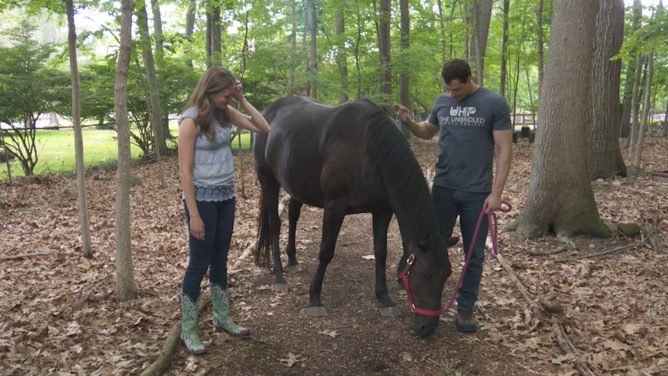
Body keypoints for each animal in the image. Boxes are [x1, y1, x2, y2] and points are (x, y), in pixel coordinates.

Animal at [252, 95, 454, 336]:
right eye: (424, 273)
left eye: (447, 275)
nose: (427, 327)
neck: (368, 149)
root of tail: (268, 111)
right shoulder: (334, 208)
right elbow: (325, 252)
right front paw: (314, 298)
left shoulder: (382, 211)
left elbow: (381, 252)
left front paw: (384, 299)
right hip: (268, 181)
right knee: (275, 223)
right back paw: (279, 276)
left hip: (296, 184)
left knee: (293, 215)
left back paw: (292, 259)